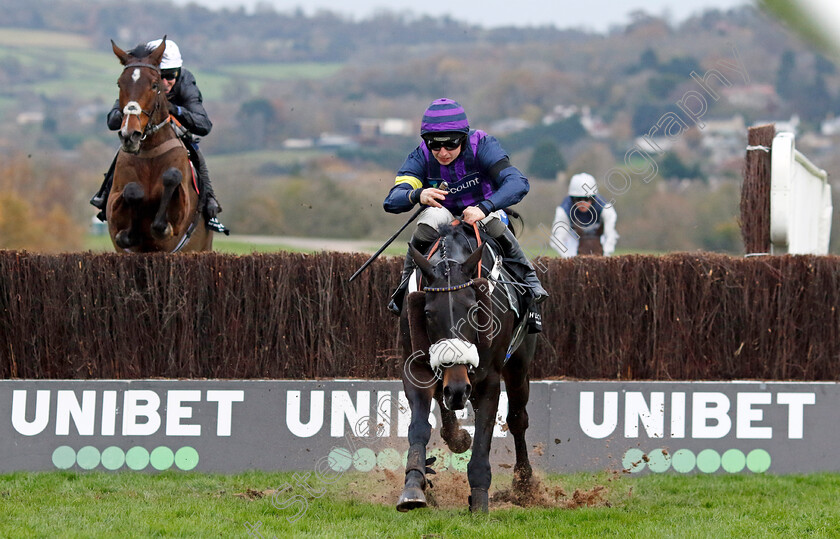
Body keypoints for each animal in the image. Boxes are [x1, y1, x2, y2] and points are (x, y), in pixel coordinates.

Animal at [106, 38, 212, 253]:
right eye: (120, 84)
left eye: (154, 85)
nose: (130, 135)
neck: (150, 152)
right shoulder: (114, 205)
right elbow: (132, 191)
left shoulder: (183, 209)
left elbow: (172, 177)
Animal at [398, 224, 536, 516]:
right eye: (427, 313)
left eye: (474, 310)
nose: (458, 388)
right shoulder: (416, 368)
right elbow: (419, 427)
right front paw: (414, 484)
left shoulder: (489, 378)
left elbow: (484, 437)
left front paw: (480, 499)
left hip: (519, 366)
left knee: (518, 419)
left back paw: (524, 485)